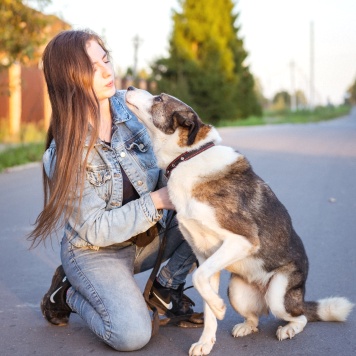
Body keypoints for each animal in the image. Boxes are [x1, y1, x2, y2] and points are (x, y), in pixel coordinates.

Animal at [125, 87, 354, 356]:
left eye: (159, 98)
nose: (129, 88)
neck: (187, 157)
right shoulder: (205, 256)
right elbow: (204, 291)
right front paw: (206, 340)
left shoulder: (242, 241)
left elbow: (198, 277)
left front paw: (218, 308)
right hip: (236, 290)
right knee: (255, 319)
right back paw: (246, 326)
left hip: (278, 294)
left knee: (300, 317)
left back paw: (288, 328)